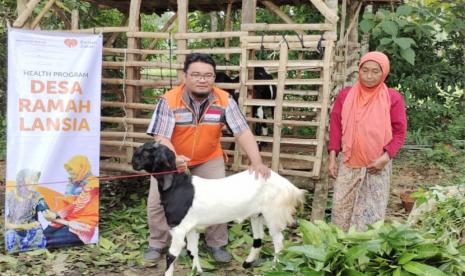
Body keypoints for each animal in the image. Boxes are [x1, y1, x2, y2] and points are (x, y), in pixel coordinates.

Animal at [130, 141, 304, 274]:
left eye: (146, 153)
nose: (132, 162)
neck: (178, 186)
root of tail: (288, 186)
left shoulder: (178, 228)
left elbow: (171, 255)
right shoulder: (192, 227)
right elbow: (192, 251)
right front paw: (197, 272)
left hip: (273, 214)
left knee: (278, 242)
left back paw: (274, 268)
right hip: (257, 214)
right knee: (258, 238)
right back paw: (247, 263)